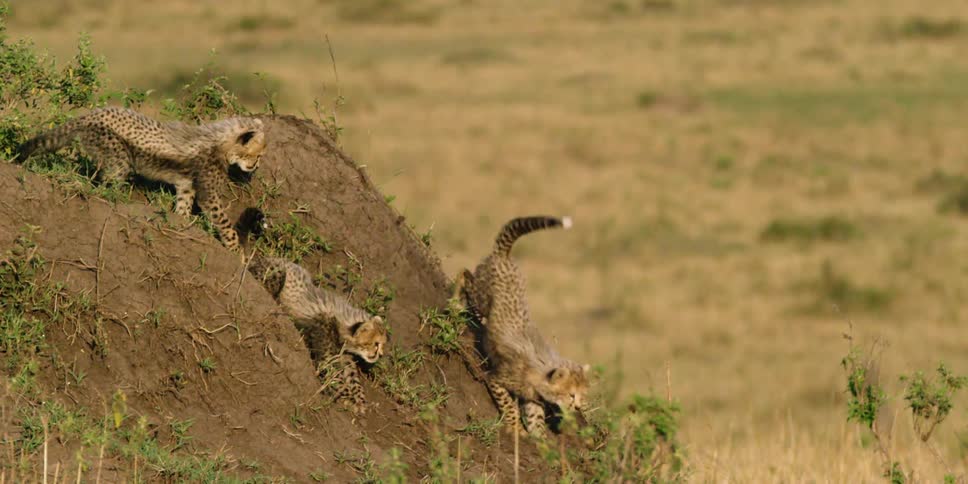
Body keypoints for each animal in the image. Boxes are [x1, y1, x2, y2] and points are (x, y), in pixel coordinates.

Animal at [15, 107, 266, 252]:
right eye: (257, 154)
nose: (256, 166)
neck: (221, 143)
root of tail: (92, 113)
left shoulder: (186, 184)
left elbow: (183, 205)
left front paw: (181, 222)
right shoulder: (208, 195)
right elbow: (224, 223)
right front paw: (236, 251)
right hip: (119, 159)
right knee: (106, 183)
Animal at [454, 215, 590, 438]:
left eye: (583, 395)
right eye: (571, 395)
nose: (578, 407)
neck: (541, 372)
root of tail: (504, 256)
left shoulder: (532, 398)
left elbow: (535, 418)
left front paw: (540, 438)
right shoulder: (496, 379)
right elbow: (509, 405)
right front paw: (516, 428)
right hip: (481, 298)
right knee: (466, 274)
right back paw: (455, 295)